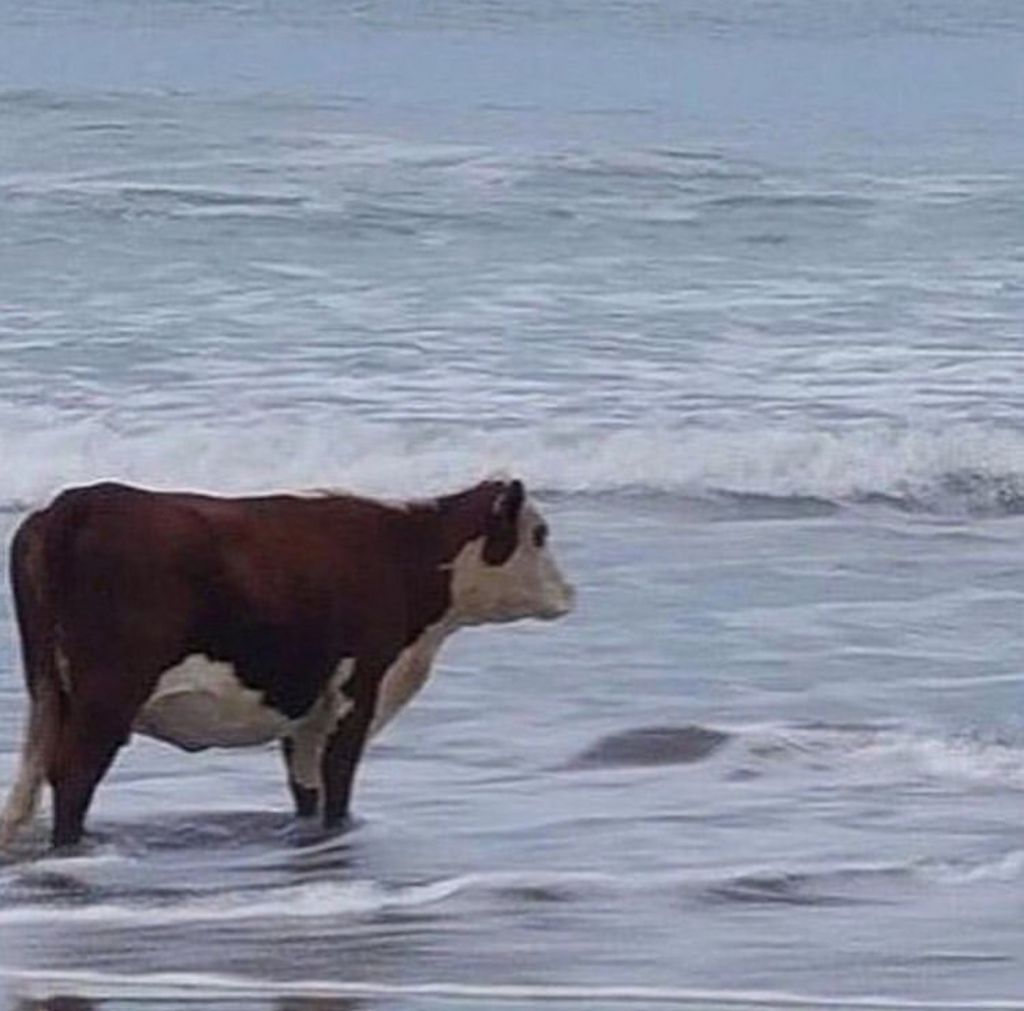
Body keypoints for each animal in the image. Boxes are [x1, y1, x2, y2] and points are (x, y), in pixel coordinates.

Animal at [0, 476, 574, 849]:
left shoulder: (307, 708)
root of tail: (77, 502)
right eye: (540, 533)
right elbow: (336, 779)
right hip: (109, 693)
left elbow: (307, 785)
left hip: (49, 690)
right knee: (74, 774)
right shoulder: (356, 689)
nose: (570, 592)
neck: (404, 551)